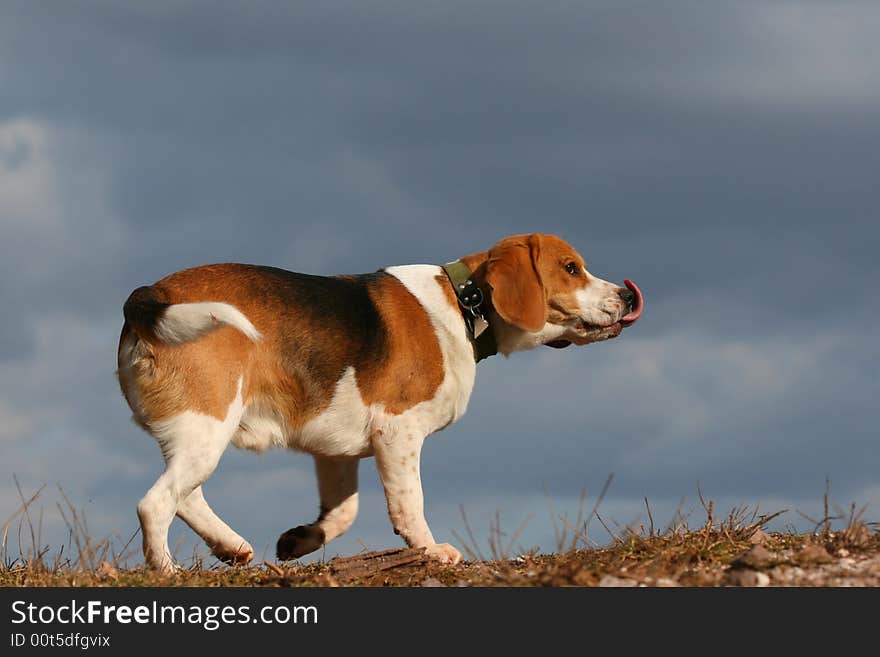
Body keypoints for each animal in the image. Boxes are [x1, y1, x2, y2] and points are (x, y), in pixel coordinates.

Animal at [115, 234, 640, 568]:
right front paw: (430, 550)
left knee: (185, 497)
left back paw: (231, 547)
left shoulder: (334, 448)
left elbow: (343, 513)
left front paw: (300, 541)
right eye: (571, 268)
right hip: (208, 425)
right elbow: (410, 502)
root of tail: (151, 294)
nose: (627, 295)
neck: (462, 303)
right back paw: (167, 571)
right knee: (155, 504)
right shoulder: (398, 431)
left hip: (199, 435)